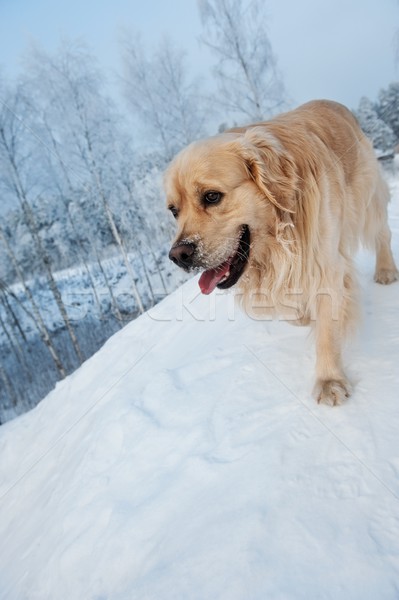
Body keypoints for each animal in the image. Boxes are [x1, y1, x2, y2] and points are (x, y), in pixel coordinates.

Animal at [164, 101, 398, 406]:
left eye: (212, 196)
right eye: (173, 211)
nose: (178, 256)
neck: (280, 232)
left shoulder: (325, 262)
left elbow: (327, 329)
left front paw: (329, 380)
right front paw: (302, 315)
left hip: (368, 201)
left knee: (382, 233)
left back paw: (386, 269)